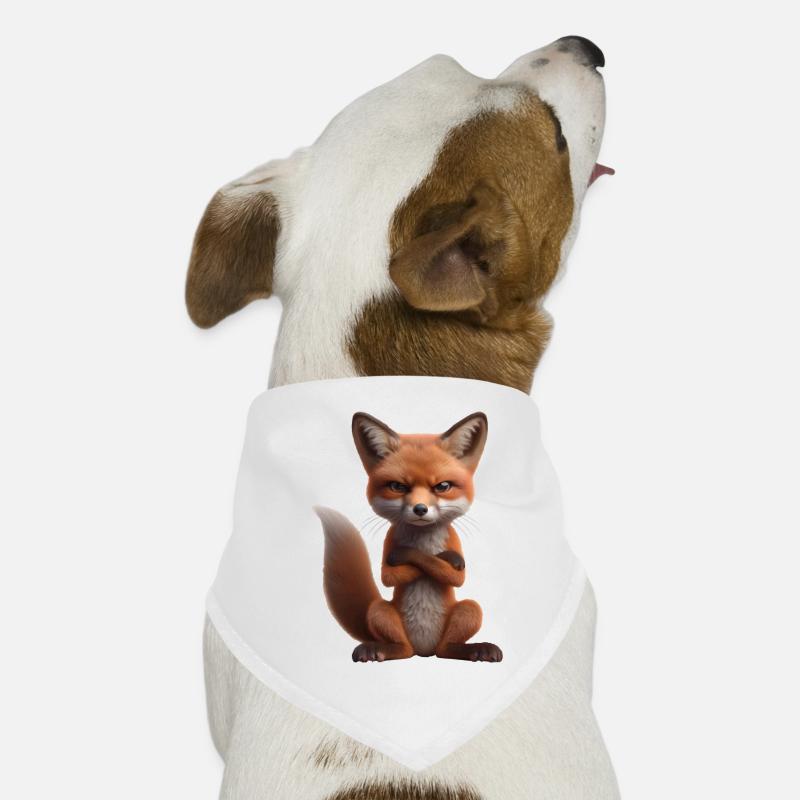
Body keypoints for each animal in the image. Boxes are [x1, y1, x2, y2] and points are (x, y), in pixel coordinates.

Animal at [315, 411, 503, 663]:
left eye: (442, 486)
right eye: (397, 486)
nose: (420, 509)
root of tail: (424, 651)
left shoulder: (454, 544)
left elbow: (452, 574)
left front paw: (447, 558)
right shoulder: (389, 546)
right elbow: (392, 574)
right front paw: (422, 555)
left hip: (470, 609)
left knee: (446, 649)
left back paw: (476, 649)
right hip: (380, 611)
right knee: (403, 650)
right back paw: (378, 650)